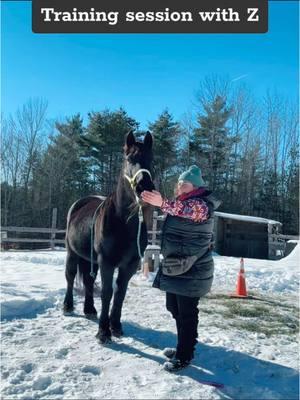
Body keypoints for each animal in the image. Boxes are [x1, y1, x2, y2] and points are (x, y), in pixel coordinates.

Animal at [64, 132, 156, 344]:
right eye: (129, 158)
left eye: (151, 160)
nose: (144, 187)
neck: (123, 222)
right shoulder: (106, 262)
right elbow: (107, 293)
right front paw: (103, 332)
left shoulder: (130, 264)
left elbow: (120, 293)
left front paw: (115, 326)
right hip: (72, 252)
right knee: (70, 276)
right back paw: (68, 306)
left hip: (89, 259)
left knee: (88, 281)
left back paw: (89, 309)